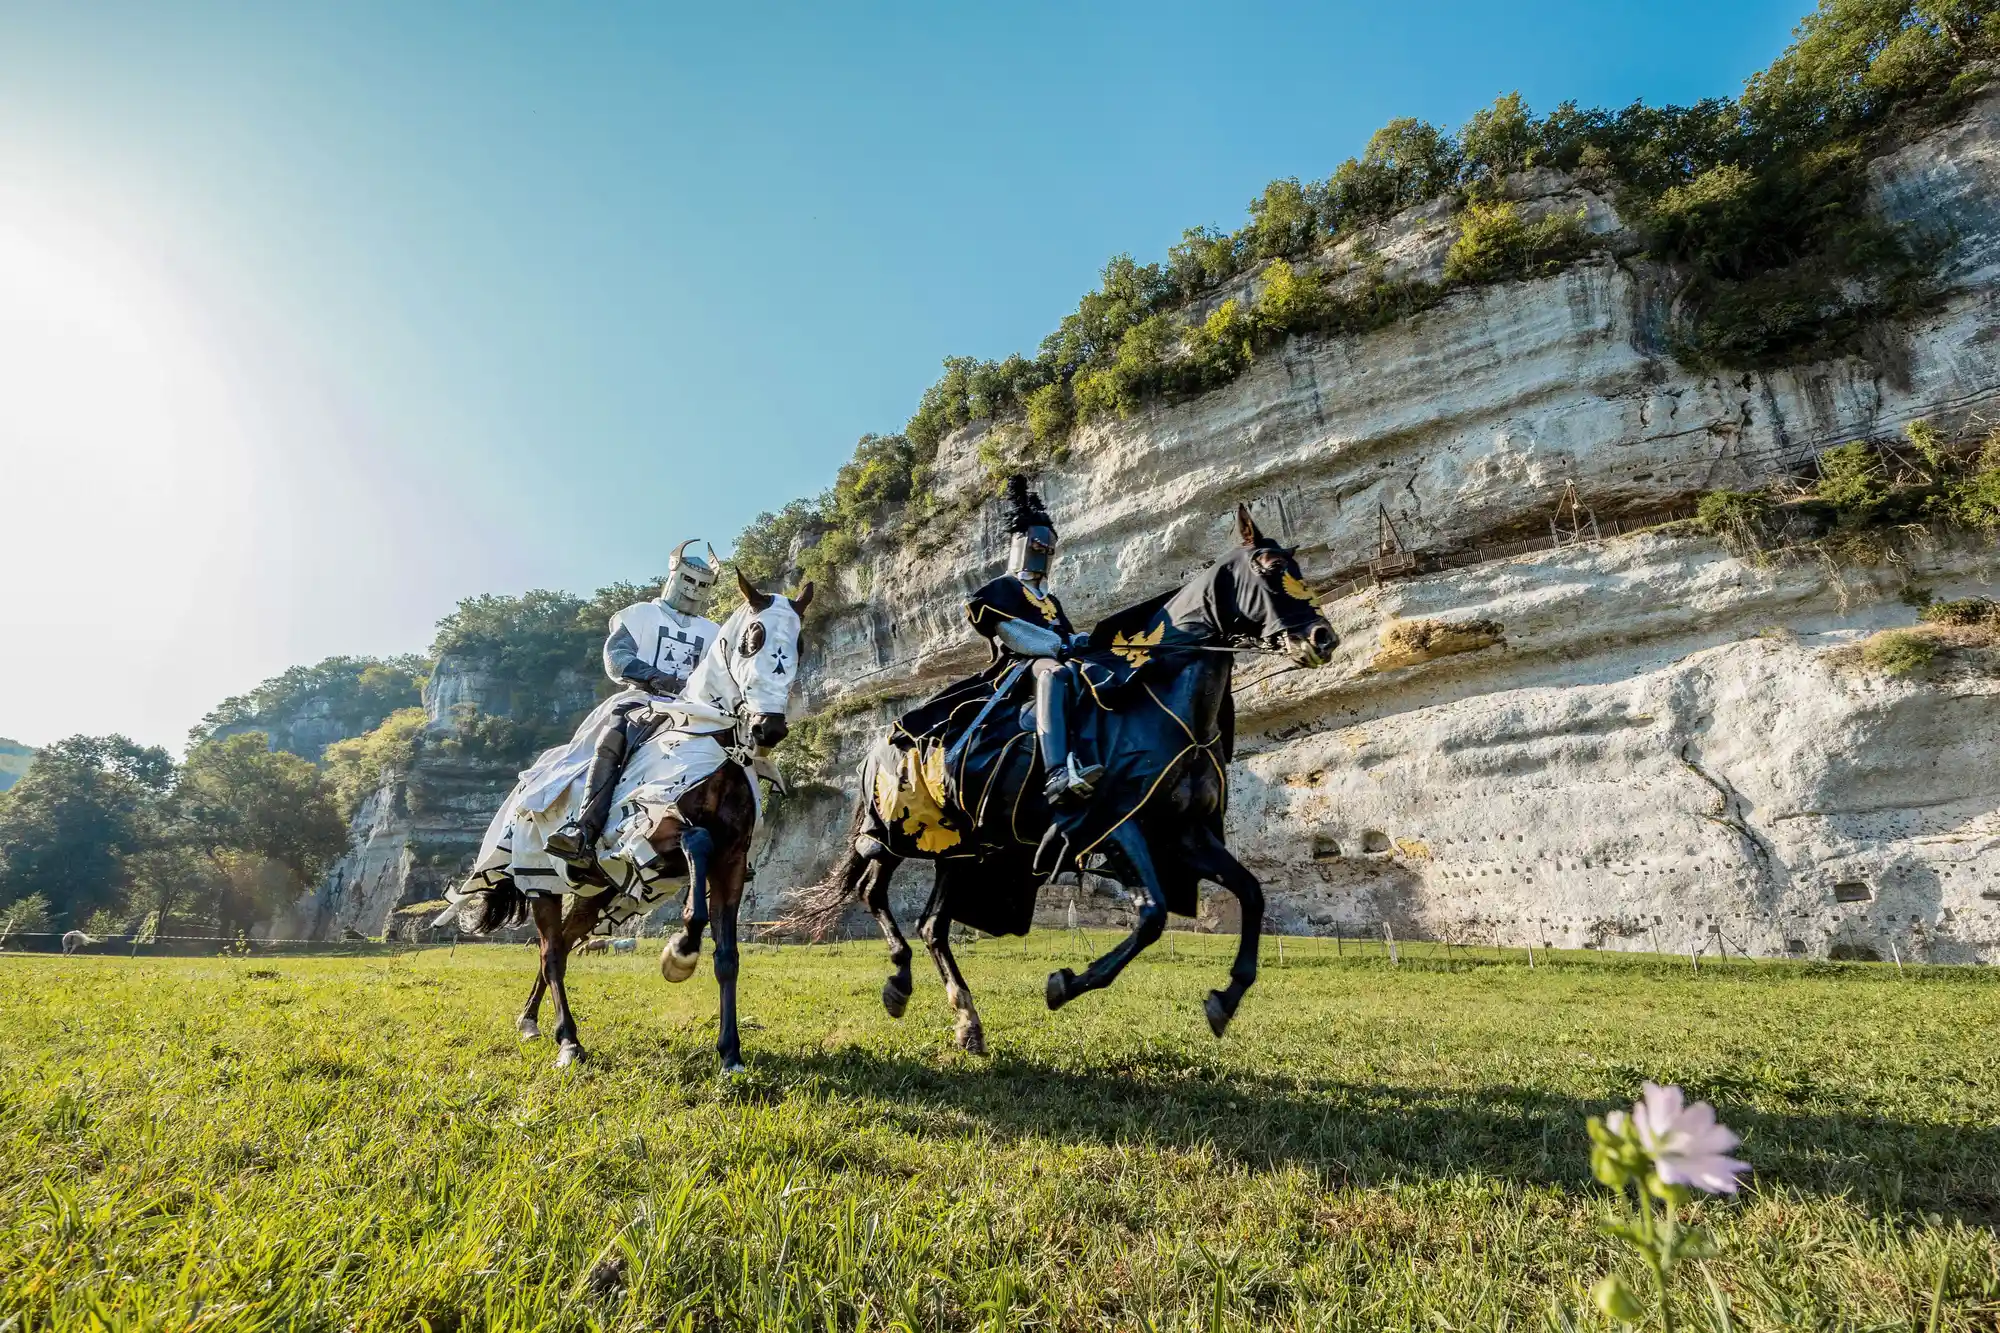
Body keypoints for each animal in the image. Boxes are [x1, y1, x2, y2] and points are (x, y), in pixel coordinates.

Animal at [788, 506, 1336, 1048]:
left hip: (961, 852)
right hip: (896, 833)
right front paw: (1065, 984)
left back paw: (964, 1019)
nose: (1322, 639)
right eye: (1269, 568)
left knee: (932, 926)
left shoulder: (1183, 834)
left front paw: (1226, 998)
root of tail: (876, 749)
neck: (1157, 703)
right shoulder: (1114, 826)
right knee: (872, 889)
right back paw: (900, 982)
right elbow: (1153, 915)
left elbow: (1250, 893)